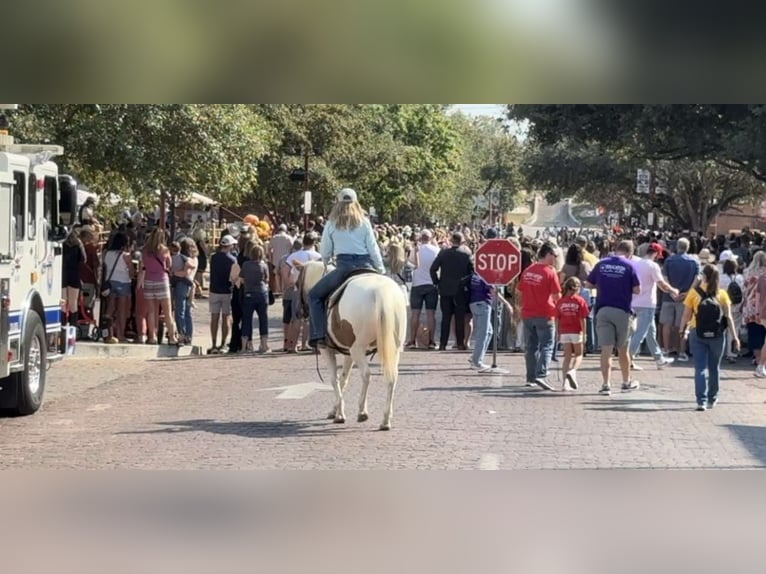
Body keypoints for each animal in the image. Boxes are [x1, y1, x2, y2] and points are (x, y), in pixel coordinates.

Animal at [296, 260, 408, 431]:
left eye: (296, 283)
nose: (298, 313)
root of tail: (381, 292)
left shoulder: (327, 350)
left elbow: (334, 379)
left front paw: (340, 414)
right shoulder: (348, 354)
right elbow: (343, 379)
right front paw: (335, 410)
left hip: (358, 349)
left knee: (366, 375)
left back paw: (362, 412)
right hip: (393, 349)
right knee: (391, 378)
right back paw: (385, 420)